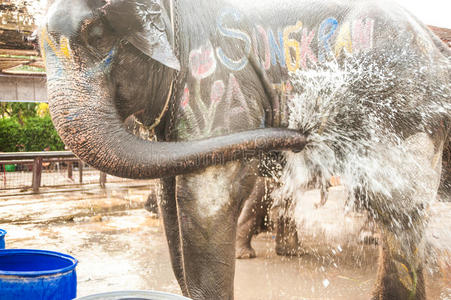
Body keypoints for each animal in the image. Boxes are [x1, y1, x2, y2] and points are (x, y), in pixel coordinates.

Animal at [40, 1, 450, 298]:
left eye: (96, 33)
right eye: (35, 44)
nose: (300, 128)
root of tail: (433, 44)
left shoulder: (215, 84)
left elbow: (206, 199)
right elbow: (171, 194)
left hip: (401, 105)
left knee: (396, 208)